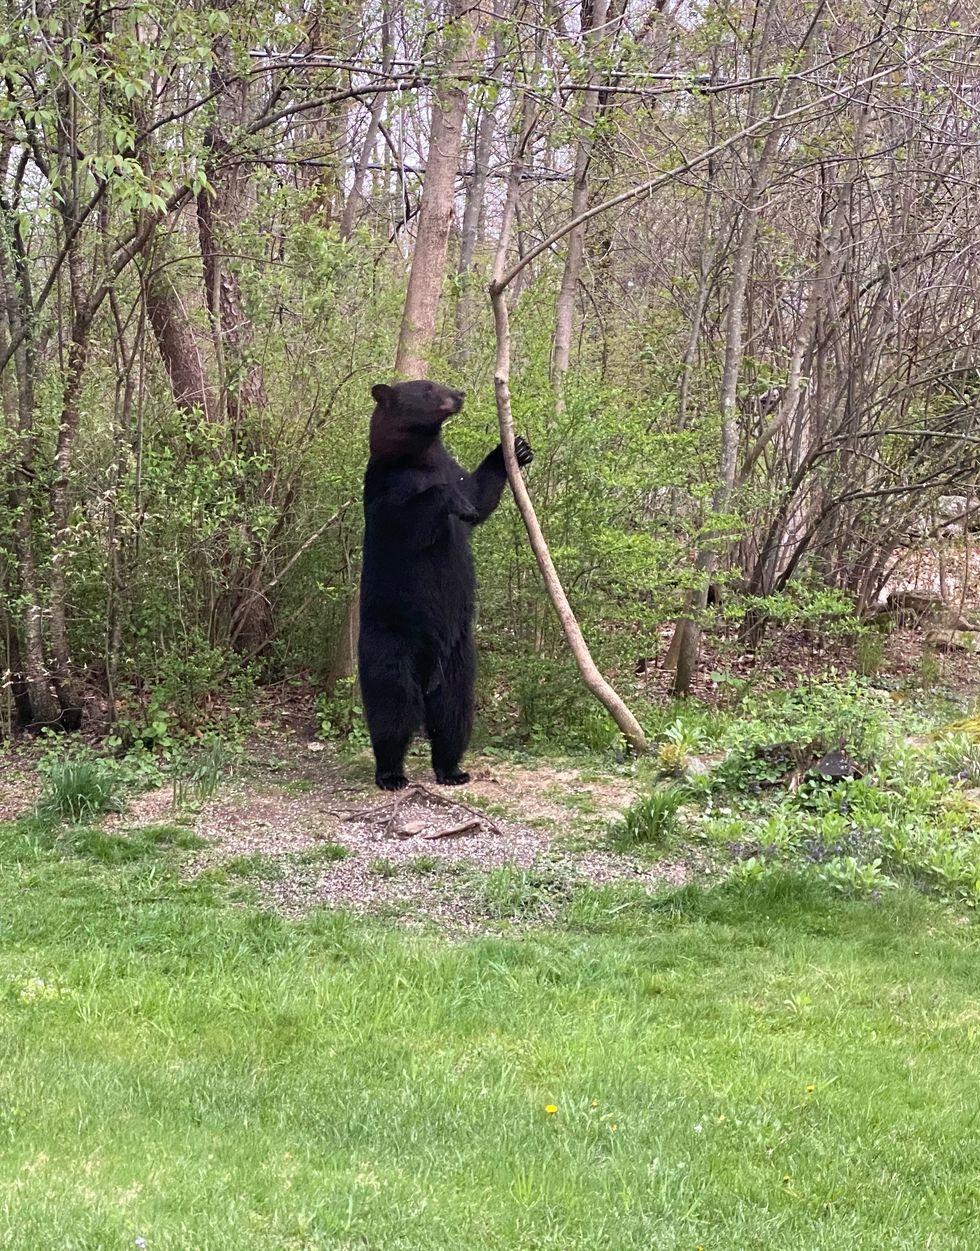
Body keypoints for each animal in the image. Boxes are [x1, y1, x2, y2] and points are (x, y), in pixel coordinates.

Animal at [357, 380, 533, 790]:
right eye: (427, 389)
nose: (460, 393)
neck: (419, 458)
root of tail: (427, 671)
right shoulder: (386, 492)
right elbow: (413, 518)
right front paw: (453, 503)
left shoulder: (450, 469)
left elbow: (477, 493)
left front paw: (514, 448)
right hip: (389, 644)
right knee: (393, 708)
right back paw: (391, 773)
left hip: (459, 659)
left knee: (453, 715)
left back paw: (452, 769)